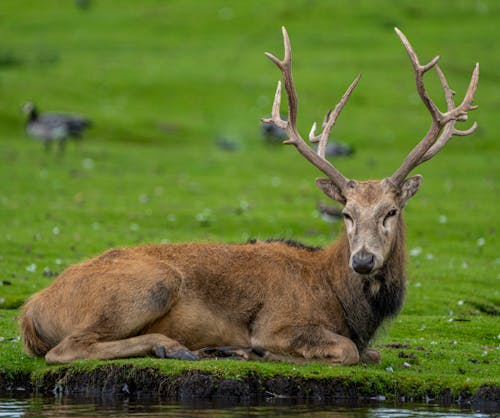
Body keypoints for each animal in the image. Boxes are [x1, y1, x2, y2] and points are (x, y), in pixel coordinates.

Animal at [19, 27, 478, 366]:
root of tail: (30, 312)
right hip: (152, 283)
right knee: (65, 349)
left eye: (391, 211)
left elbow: (374, 354)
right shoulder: (278, 322)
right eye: (346, 213)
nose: (363, 260)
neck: (343, 302)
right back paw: (176, 346)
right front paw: (258, 352)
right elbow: (348, 351)